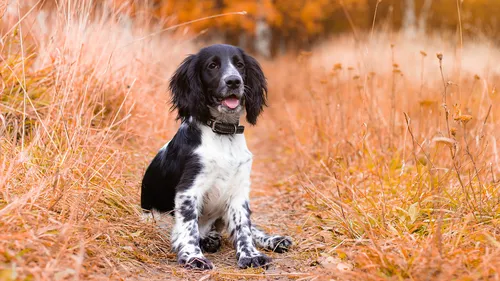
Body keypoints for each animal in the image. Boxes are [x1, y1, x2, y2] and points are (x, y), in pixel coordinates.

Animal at [140, 44, 292, 270]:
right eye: (212, 66)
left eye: (240, 65)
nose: (234, 81)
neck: (223, 134)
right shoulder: (189, 189)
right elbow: (188, 226)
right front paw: (193, 257)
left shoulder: (239, 190)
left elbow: (243, 227)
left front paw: (250, 255)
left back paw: (274, 239)